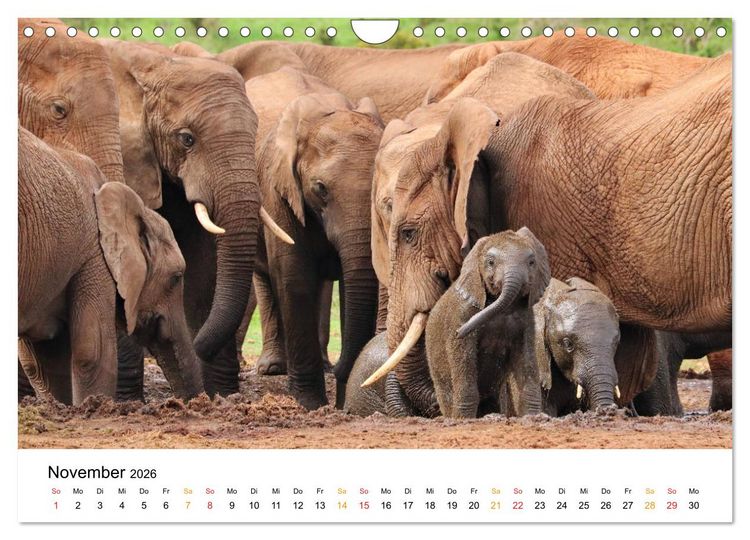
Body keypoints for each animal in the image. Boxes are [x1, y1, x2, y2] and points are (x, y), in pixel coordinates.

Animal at [18, 127, 203, 404]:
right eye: (176, 277)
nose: (196, 403)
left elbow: (43, 363)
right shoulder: (95, 254)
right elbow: (93, 352)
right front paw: (93, 407)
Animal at [99, 40, 291, 397]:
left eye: (255, 134)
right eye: (187, 139)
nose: (198, 344)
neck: (155, 64)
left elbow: (203, 265)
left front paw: (220, 395)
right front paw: (126, 401)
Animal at [249, 68, 384, 408]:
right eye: (320, 189)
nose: (341, 369)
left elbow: (353, 286)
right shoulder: (277, 189)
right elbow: (294, 277)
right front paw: (309, 403)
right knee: (265, 276)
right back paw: (273, 368)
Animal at [416, 229, 549, 419]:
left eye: (531, 262)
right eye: (490, 262)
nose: (459, 331)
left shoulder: (527, 321)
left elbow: (527, 362)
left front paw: (533, 417)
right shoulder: (462, 314)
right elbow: (464, 360)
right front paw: (463, 419)